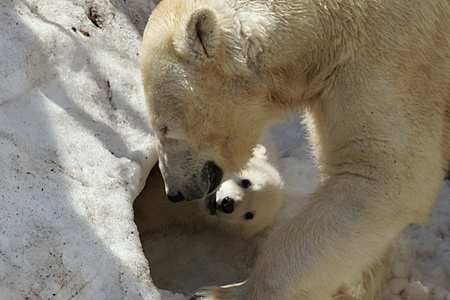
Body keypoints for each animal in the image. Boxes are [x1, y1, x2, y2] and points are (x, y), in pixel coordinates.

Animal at [142, 0, 450, 300]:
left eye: (165, 127)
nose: (175, 192)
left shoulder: (393, 58)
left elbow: (387, 175)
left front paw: (222, 293)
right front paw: (355, 283)